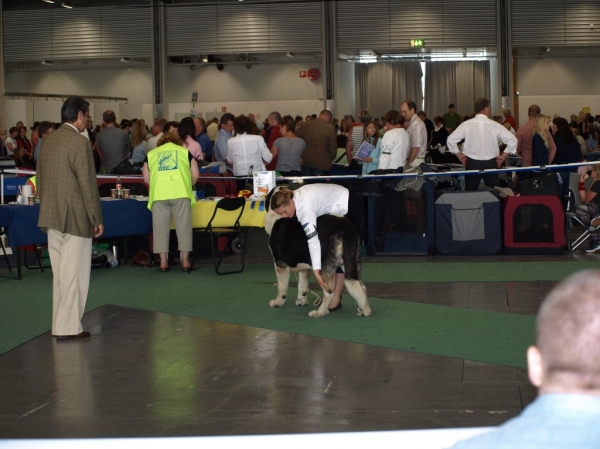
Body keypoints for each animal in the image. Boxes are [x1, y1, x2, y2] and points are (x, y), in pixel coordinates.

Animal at [264, 187, 370, 316]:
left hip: (324, 268)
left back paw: (319, 312)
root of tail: (346, 228)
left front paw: (277, 302)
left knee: (330, 292)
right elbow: (302, 285)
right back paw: (365, 311)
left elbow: (281, 287)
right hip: (351, 262)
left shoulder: (280, 265)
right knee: (362, 287)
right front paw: (301, 301)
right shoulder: (305, 266)